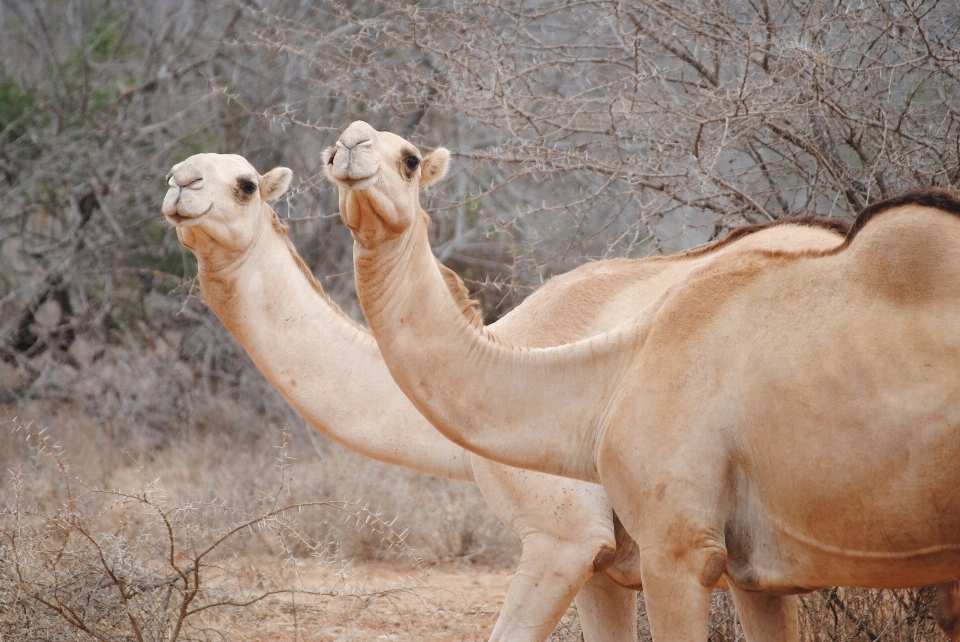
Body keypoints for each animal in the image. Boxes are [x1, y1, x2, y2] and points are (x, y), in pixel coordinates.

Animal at [324, 121, 960, 640]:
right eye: (330, 152)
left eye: (409, 159)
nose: (350, 146)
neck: (612, 372)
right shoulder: (751, 575)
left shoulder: (659, 544)